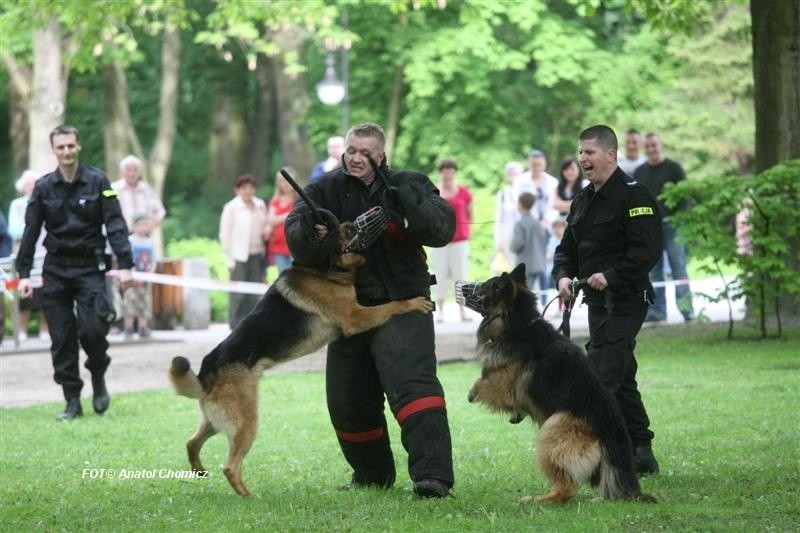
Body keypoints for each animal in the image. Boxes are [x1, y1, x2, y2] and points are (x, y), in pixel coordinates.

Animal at [169, 218, 432, 496]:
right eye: (340, 231)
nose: (350, 222)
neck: (322, 269)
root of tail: (206, 372)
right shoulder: (355, 317)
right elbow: (392, 305)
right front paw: (413, 303)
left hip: (215, 421)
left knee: (191, 442)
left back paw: (199, 470)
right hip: (246, 423)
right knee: (229, 467)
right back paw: (249, 496)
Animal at [466, 264, 652, 500]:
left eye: (484, 286)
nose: (463, 288)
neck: (519, 322)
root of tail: (612, 431)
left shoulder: (506, 384)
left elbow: (483, 381)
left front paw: (472, 393)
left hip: (552, 429)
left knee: (566, 488)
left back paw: (539, 499)